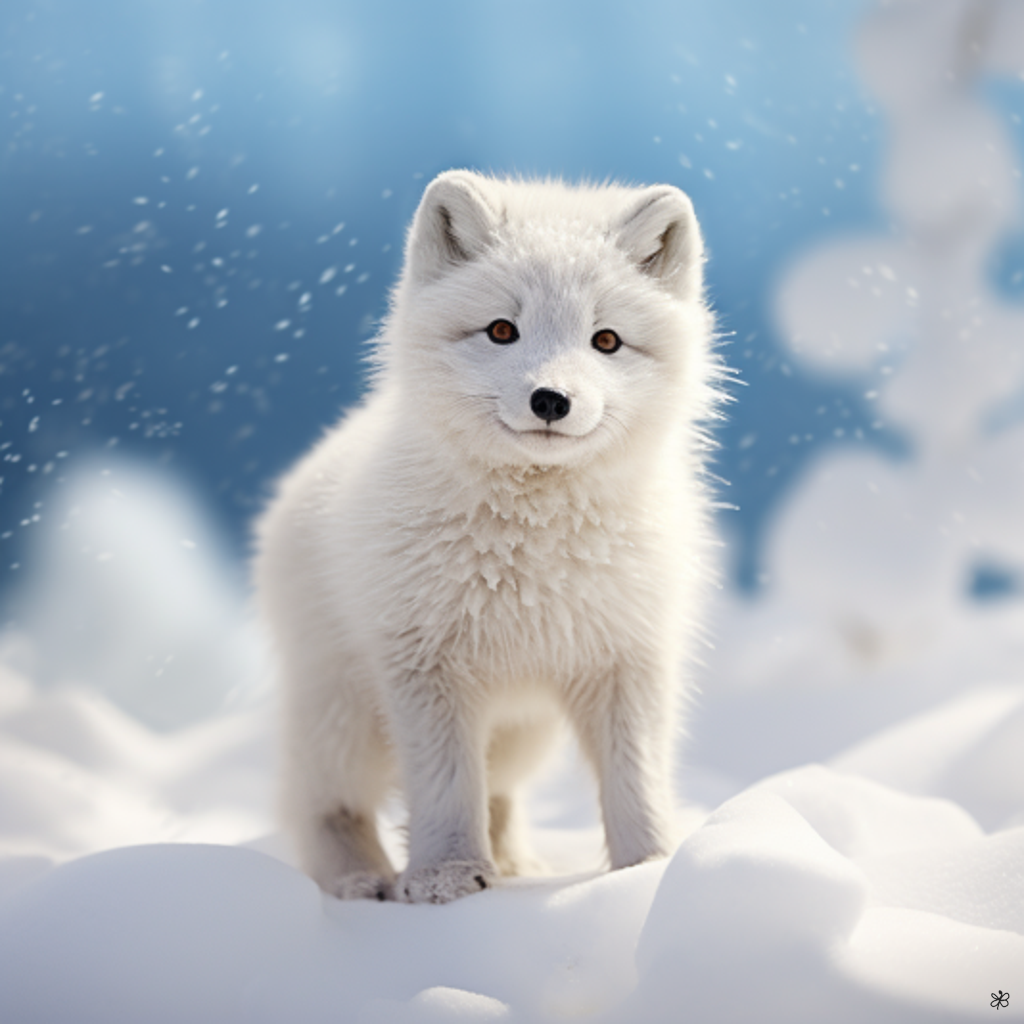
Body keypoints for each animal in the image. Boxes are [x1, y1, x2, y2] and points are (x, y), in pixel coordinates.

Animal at [254, 170, 719, 904]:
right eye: (503, 330)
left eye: (606, 340)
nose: (551, 400)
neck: (532, 548)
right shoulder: (425, 668)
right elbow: (445, 789)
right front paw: (443, 878)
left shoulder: (627, 660)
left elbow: (635, 782)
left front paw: (647, 869)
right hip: (345, 719)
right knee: (323, 805)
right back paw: (360, 879)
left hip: (523, 733)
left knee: (497, 793)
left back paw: (514, 867)